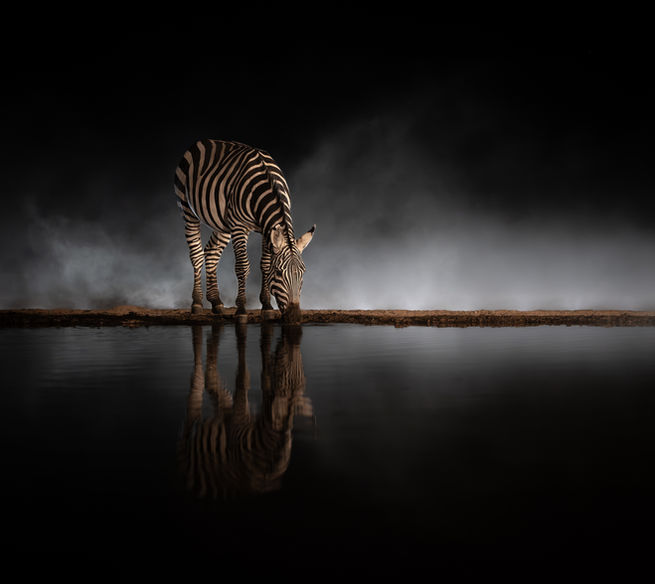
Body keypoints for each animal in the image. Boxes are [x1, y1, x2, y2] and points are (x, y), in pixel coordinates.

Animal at [174, 139, 315, 322]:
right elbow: (242, 266)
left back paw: (216, 302)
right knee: (196, 255)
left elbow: (265, 264)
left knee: (211, 252)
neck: (267, 187)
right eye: (279, 273)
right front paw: (241, 309)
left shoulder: (265, 229)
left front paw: (267, 306)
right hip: (188, 209)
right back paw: (197, 303)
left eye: (303, 272)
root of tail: (202, 141)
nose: (295, 318)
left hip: (223, 224)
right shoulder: (239, 226)